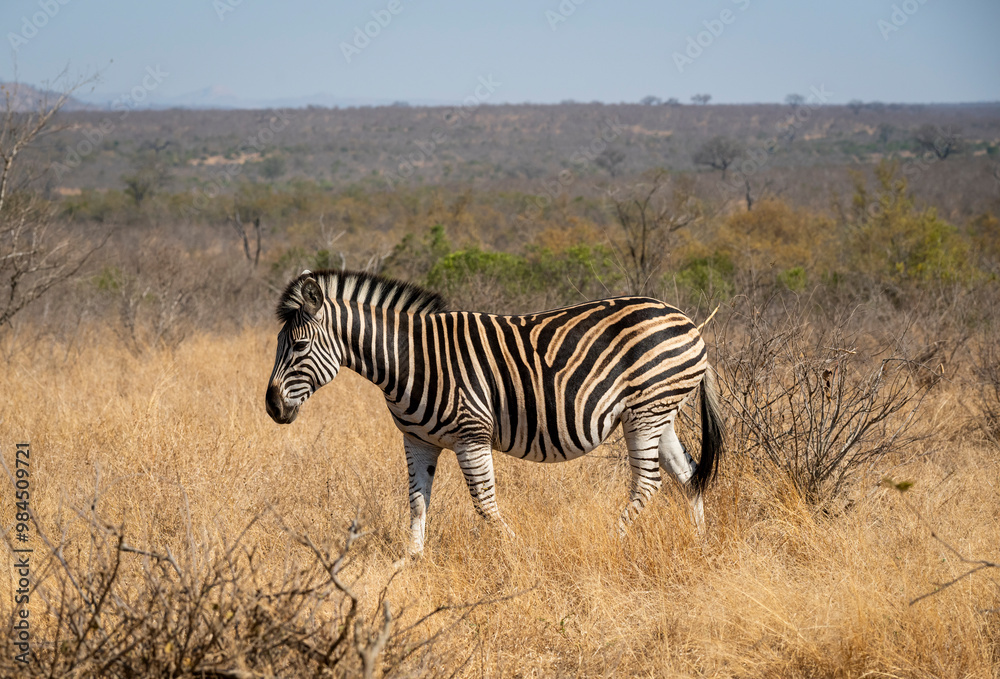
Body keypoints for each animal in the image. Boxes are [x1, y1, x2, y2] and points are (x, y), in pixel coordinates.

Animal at [265, 269, 725, 554]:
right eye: (278, 345)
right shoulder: (417, 440)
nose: (271, 407)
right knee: (687, 474)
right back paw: (701, 543)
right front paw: (410, 562)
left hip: (648, 409)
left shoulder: (472, 435)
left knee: (649, 482)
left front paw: (517, 553)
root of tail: (686, 320)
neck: (410, 359)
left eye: (300, 346)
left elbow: (484, 505)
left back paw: (615, 540)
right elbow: (416, 503)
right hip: (657, 413)